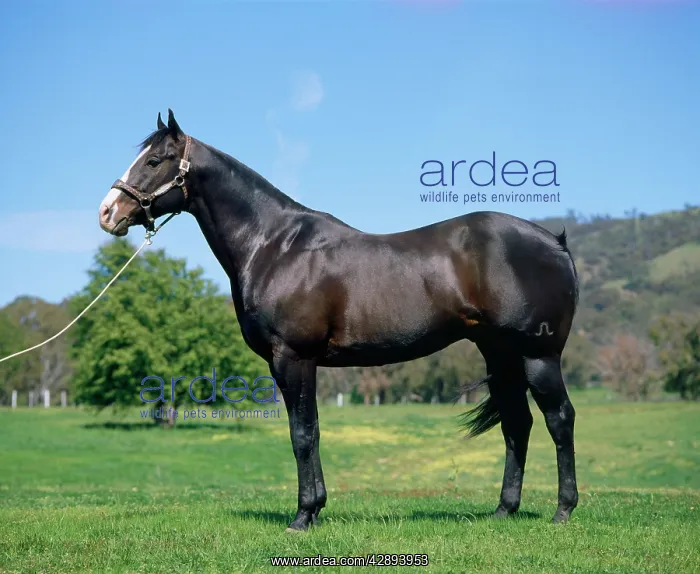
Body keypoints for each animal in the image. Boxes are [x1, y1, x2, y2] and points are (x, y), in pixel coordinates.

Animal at [98, 110, 580, 532]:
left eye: (155, 160)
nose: (107, 213)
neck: (275, 245)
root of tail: (555, 242)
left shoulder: (293, 358)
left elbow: (303, 434)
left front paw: (303, 516)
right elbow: (307, 432)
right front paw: (313, 510)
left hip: (538, 356)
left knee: (559, 418)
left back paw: (563, 510)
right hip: (501, 355)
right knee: (518, 423)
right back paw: (504, 510)